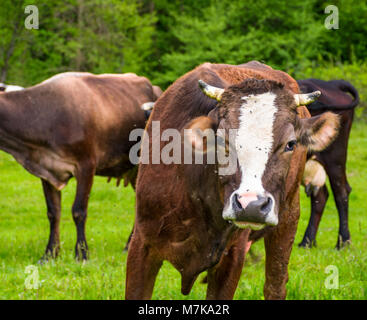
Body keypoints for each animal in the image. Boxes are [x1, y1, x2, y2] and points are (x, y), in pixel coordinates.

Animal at [0, 72, 161, 260]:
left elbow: (78, 211)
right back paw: (130, 246)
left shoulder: (86, 166)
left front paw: (82, 253)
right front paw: (49, 254)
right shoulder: (47, 169)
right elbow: (53, 213)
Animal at [298, 79, 360, 249]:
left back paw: (343, 242)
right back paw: (307, 241)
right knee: (320, 196)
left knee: (341, 192)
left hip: (335, 156)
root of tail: (332, 83)